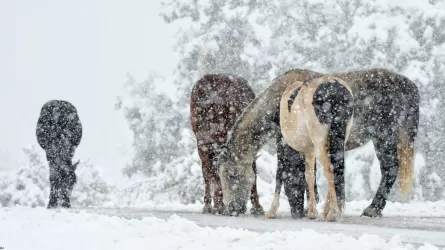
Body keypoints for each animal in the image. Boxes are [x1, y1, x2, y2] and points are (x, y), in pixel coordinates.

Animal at [188, 73, 264, 216]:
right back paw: (210, 205)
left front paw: (257, 207)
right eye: (231, 177)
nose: (237, 208)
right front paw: (219, 206)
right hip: (203, 145)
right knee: (207, 173)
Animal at [217, 68, 418, 219]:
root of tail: (409, 85)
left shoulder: (288, 145)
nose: (232, 209)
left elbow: (293, 175)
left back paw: (372, 209)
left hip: (384, 137)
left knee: (390, 169)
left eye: (232, 175)